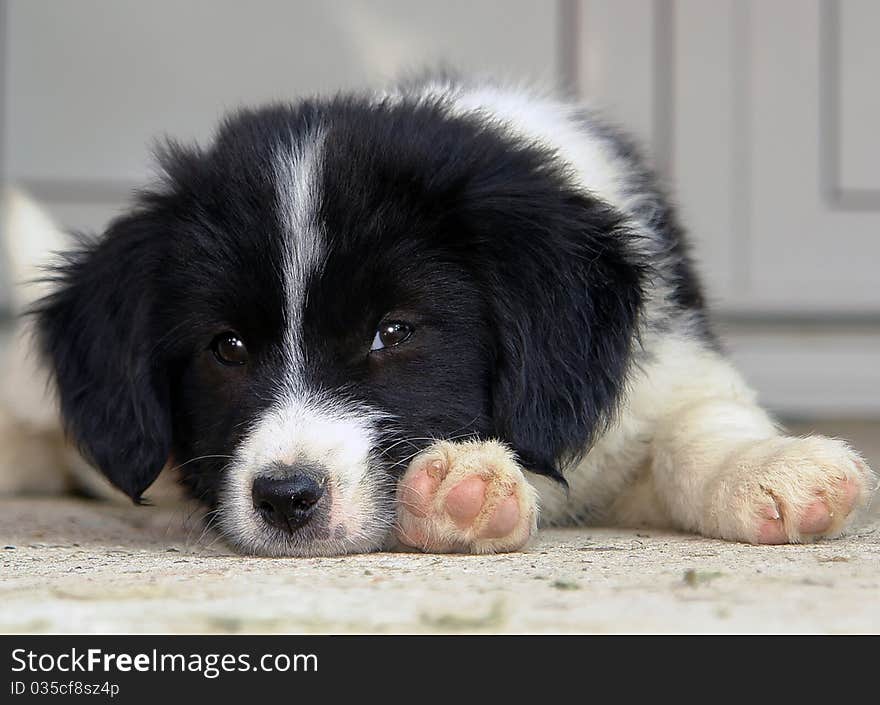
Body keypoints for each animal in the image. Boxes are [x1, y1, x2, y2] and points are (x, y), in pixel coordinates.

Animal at [18, 78, 872, 556]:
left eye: (394, 331)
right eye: (225, 347)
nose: (286, 498)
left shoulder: (671, 366)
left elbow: (699, 426)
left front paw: (772, 469)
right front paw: (466, 490)